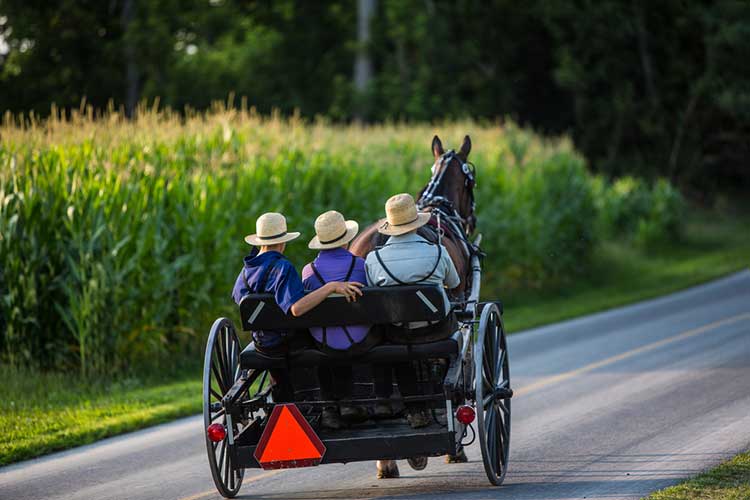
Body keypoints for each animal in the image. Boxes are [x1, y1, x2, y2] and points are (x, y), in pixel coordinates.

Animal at [350, 135, 478, 478]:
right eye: (471, 182)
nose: (472, 220)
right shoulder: (461, 309)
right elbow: (459, 365)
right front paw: (454, 449)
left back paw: (386, 457)